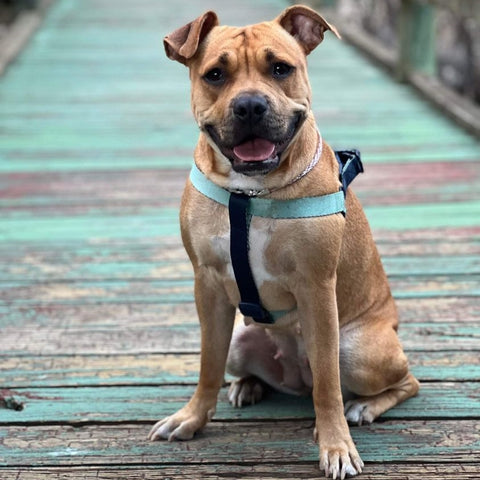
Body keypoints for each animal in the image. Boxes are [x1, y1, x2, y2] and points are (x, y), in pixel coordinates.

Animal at [148, 5, 418, 478]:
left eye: (280, 69)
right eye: (215, 74)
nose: (250, 105)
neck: (251, 192)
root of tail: (295, 377)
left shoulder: (317, 290)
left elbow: (328, 385)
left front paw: (336, 446)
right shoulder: (207, 285)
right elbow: (207, 364)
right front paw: (192, 418)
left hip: (358, 350)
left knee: (403, 381)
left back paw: (364, 407)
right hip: (242, 340)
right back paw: (249, 385)